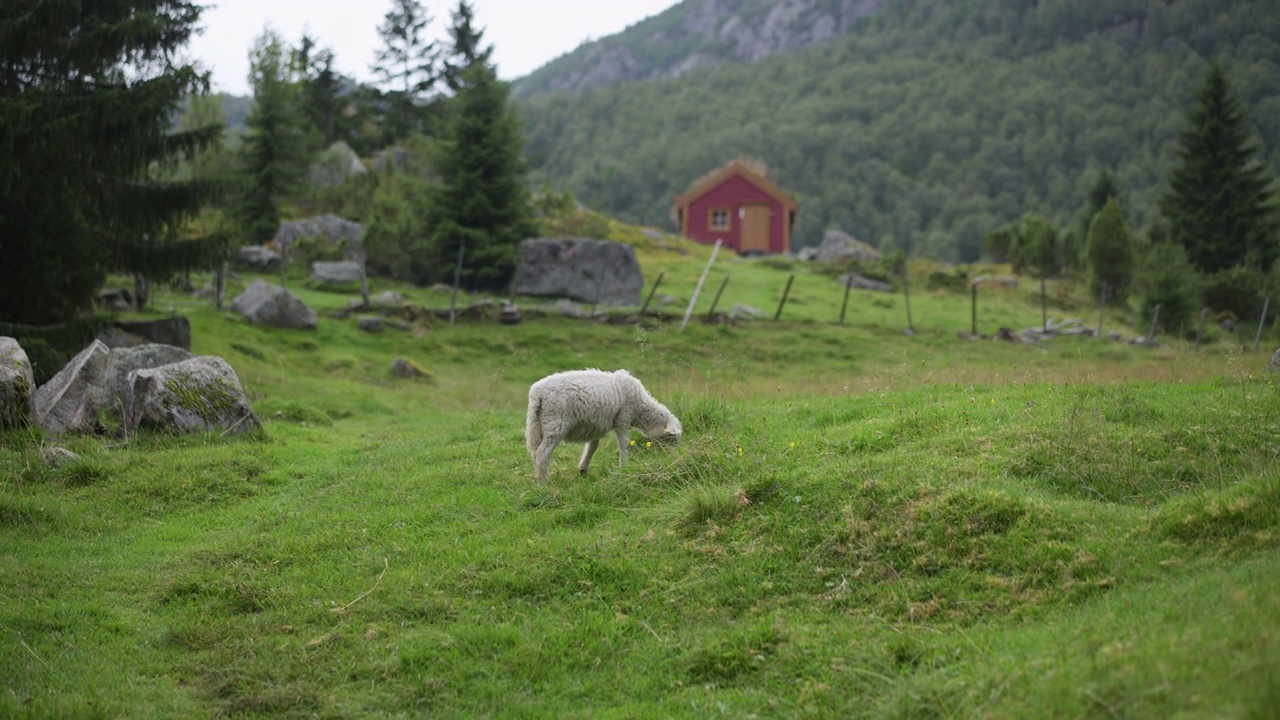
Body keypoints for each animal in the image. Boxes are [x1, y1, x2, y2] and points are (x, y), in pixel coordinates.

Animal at [522, 368, 680, 481]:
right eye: (672, 439)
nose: (673, 459)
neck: (641, 410)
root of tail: (537, 393)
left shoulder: (595, 427)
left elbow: (592, 447)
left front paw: (583, 469)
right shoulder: (622, 419)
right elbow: (624, 444)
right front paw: (624, 468)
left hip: (538, 425)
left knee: (536, 453)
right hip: (555, 424)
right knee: (543, 453)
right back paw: (544, 482)